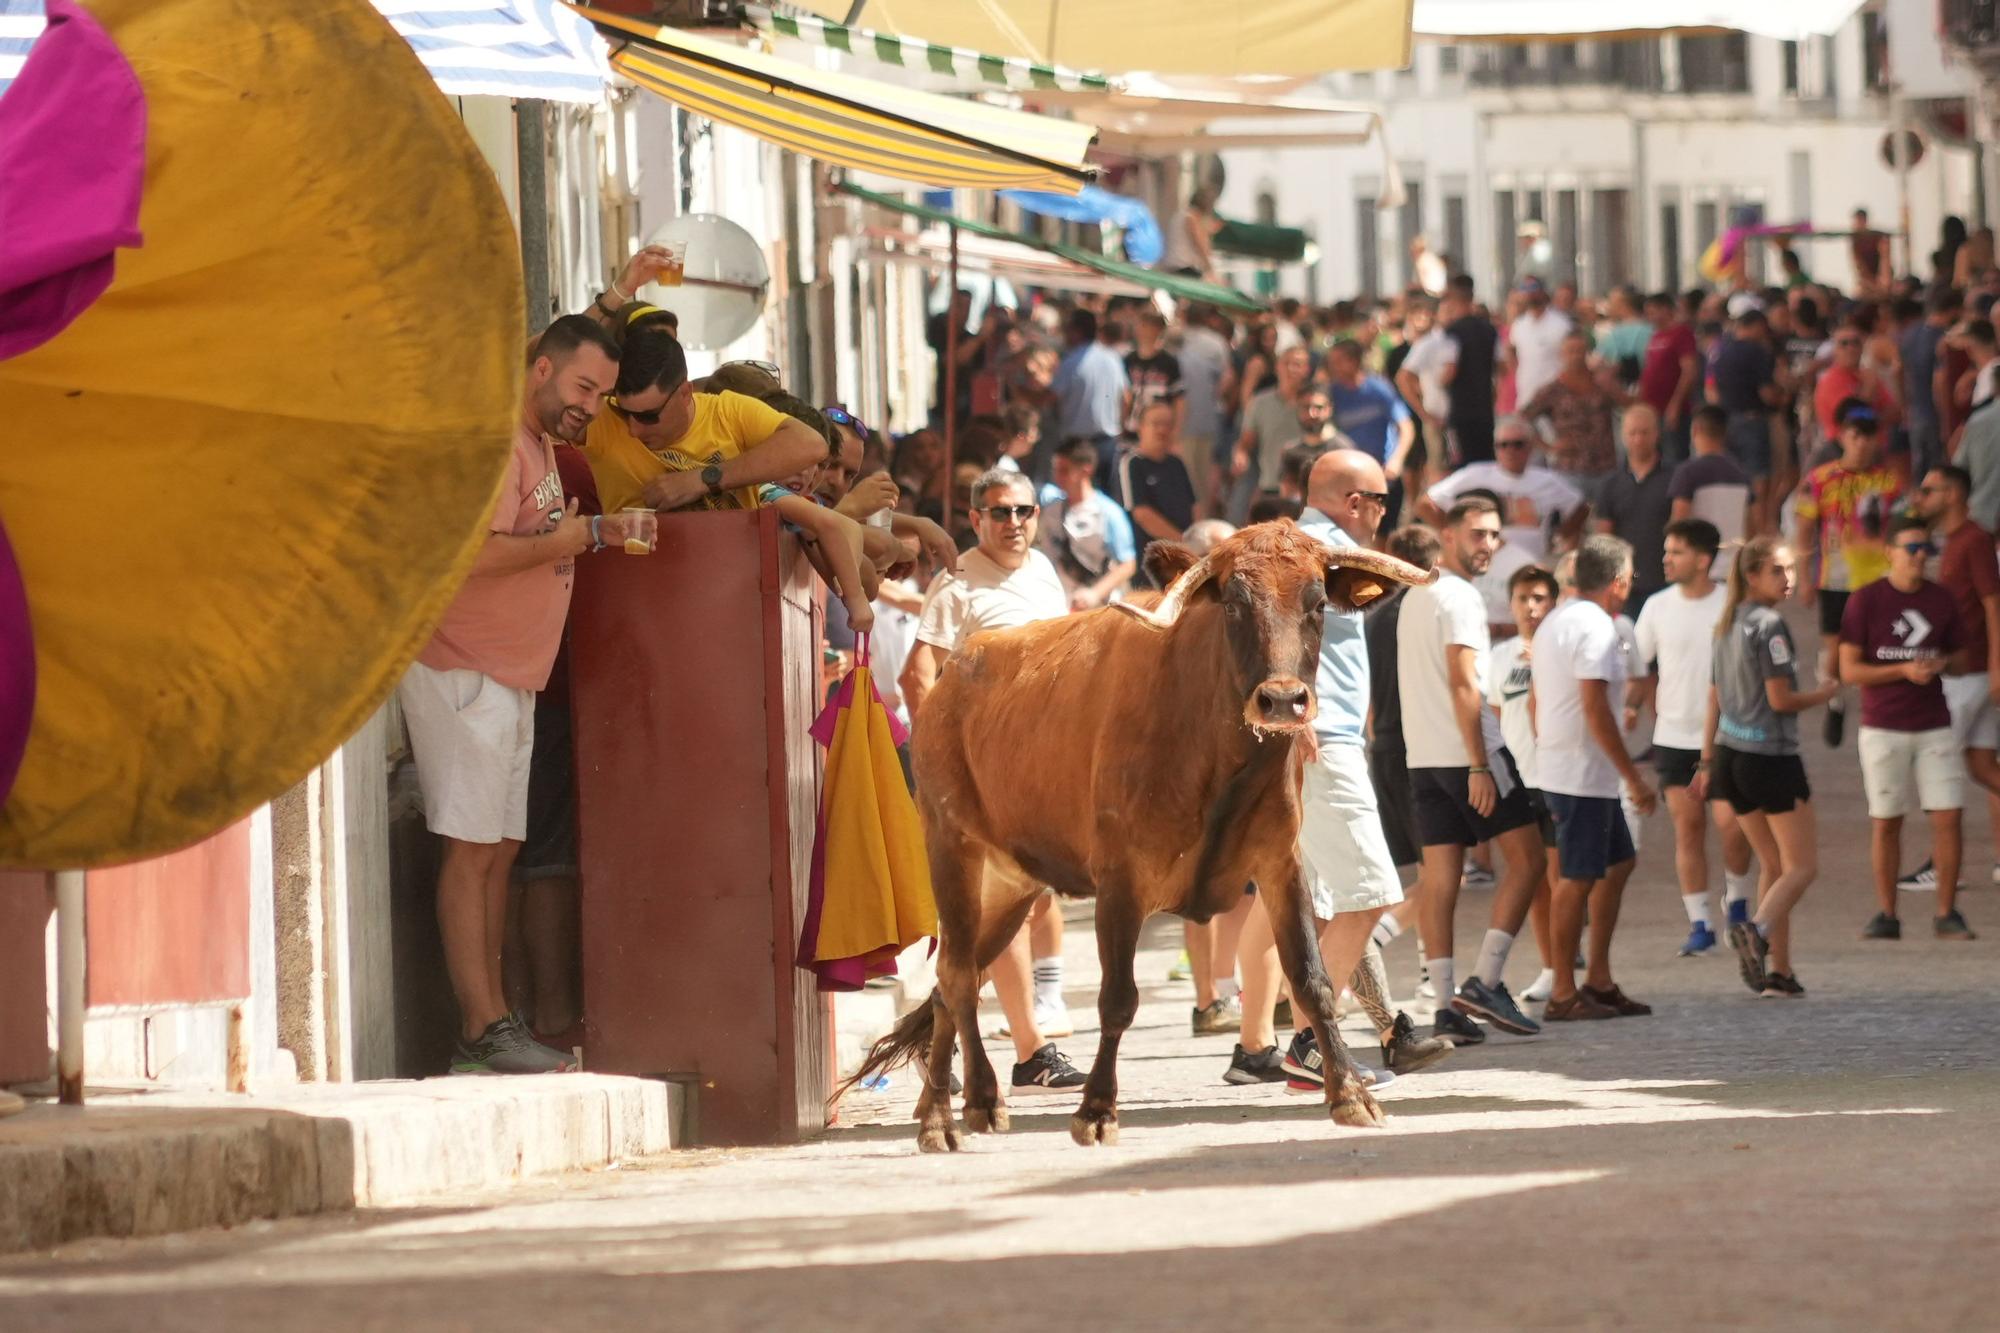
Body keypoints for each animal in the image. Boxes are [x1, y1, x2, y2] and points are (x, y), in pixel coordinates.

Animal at [844, 516, 1440, 1144]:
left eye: (1319, 602)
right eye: (1233, 602)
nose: (1282, 700)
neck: (1218, 758)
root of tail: (952, 675)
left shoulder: (1281, 864)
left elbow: (1312, 978)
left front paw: (1348, 1093)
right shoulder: (1120, 879)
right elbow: (1117, 999)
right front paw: (1096, 1109)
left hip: (1010, 884)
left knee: (950, 981)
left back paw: (952, 1102)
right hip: (951, 847)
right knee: (958, 974)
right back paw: (958, 1109)